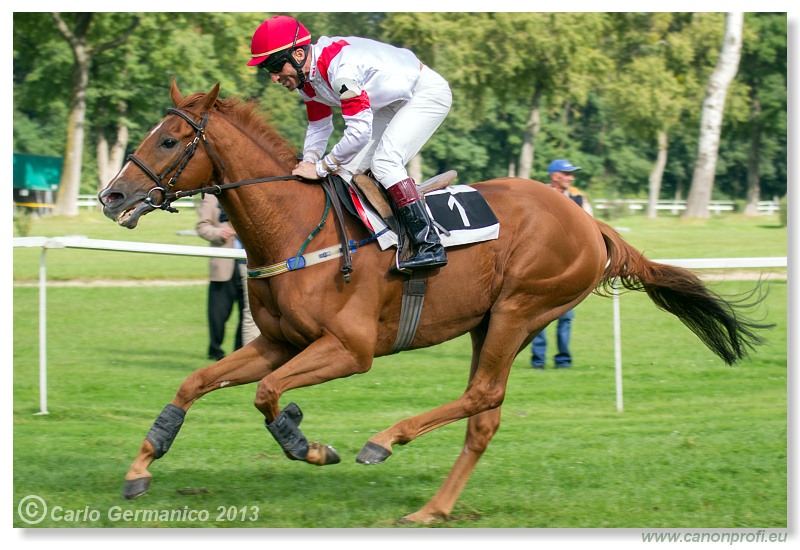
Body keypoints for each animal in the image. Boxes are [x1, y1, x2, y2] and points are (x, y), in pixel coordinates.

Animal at [98, 78, 768, 528]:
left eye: (170, 140)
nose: (111, 196)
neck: (297, 229)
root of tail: (588, 221)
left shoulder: (350, 350)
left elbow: (267, 396)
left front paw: (307, 443)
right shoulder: (279, 342)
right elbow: (195, 382)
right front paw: (141, 467)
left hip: (521, 308)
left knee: (484, 395)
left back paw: (384, 440)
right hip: (491, 321)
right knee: (485, 414)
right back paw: (434, 508)